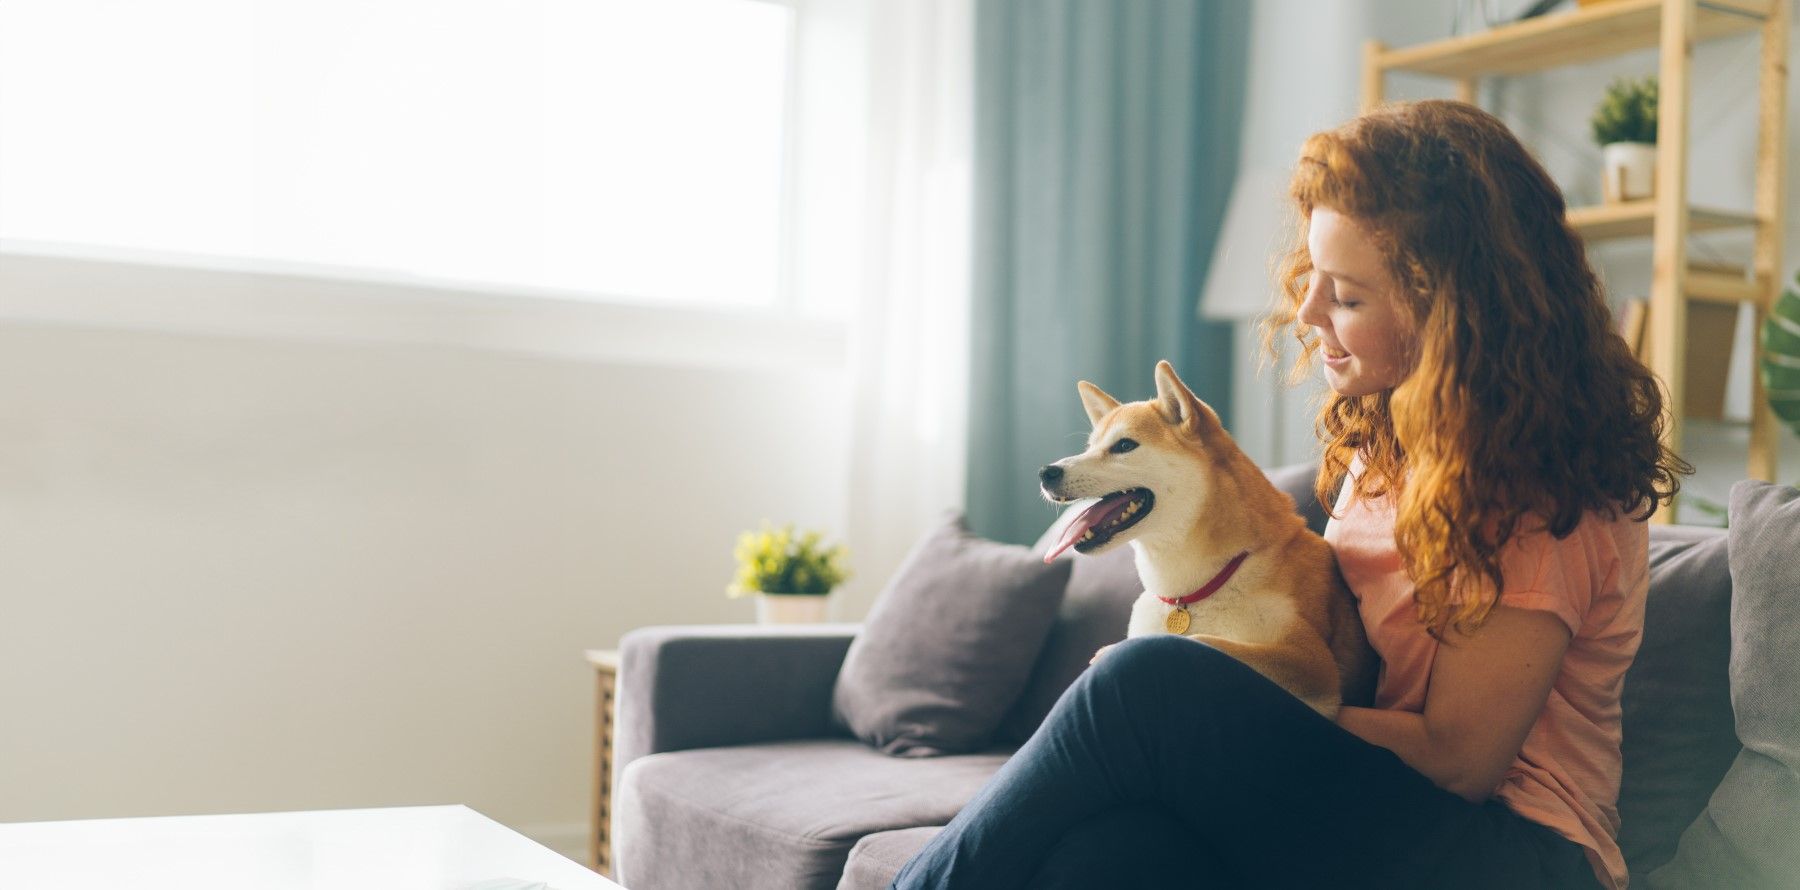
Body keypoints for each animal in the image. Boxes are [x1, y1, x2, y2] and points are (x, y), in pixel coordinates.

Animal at [1036, 362, 1368, 717]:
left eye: (1124, 446)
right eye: (1089, 448)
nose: (1046, 472)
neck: (1192, 592)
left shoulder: (1311, 662)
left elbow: (1198, 642)